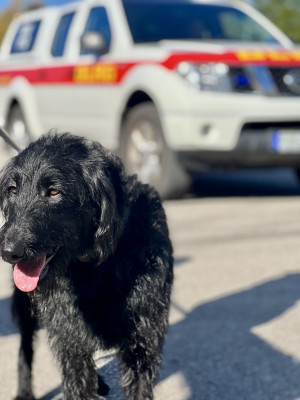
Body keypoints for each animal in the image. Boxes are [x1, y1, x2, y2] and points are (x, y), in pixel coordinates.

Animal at [0, 132, 173, 400]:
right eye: (13, 189)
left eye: (54, 191)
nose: (9, 252)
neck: (92, 268)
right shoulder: (69, 338)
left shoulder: (143, 341)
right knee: (25, 346)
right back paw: (24, 391)